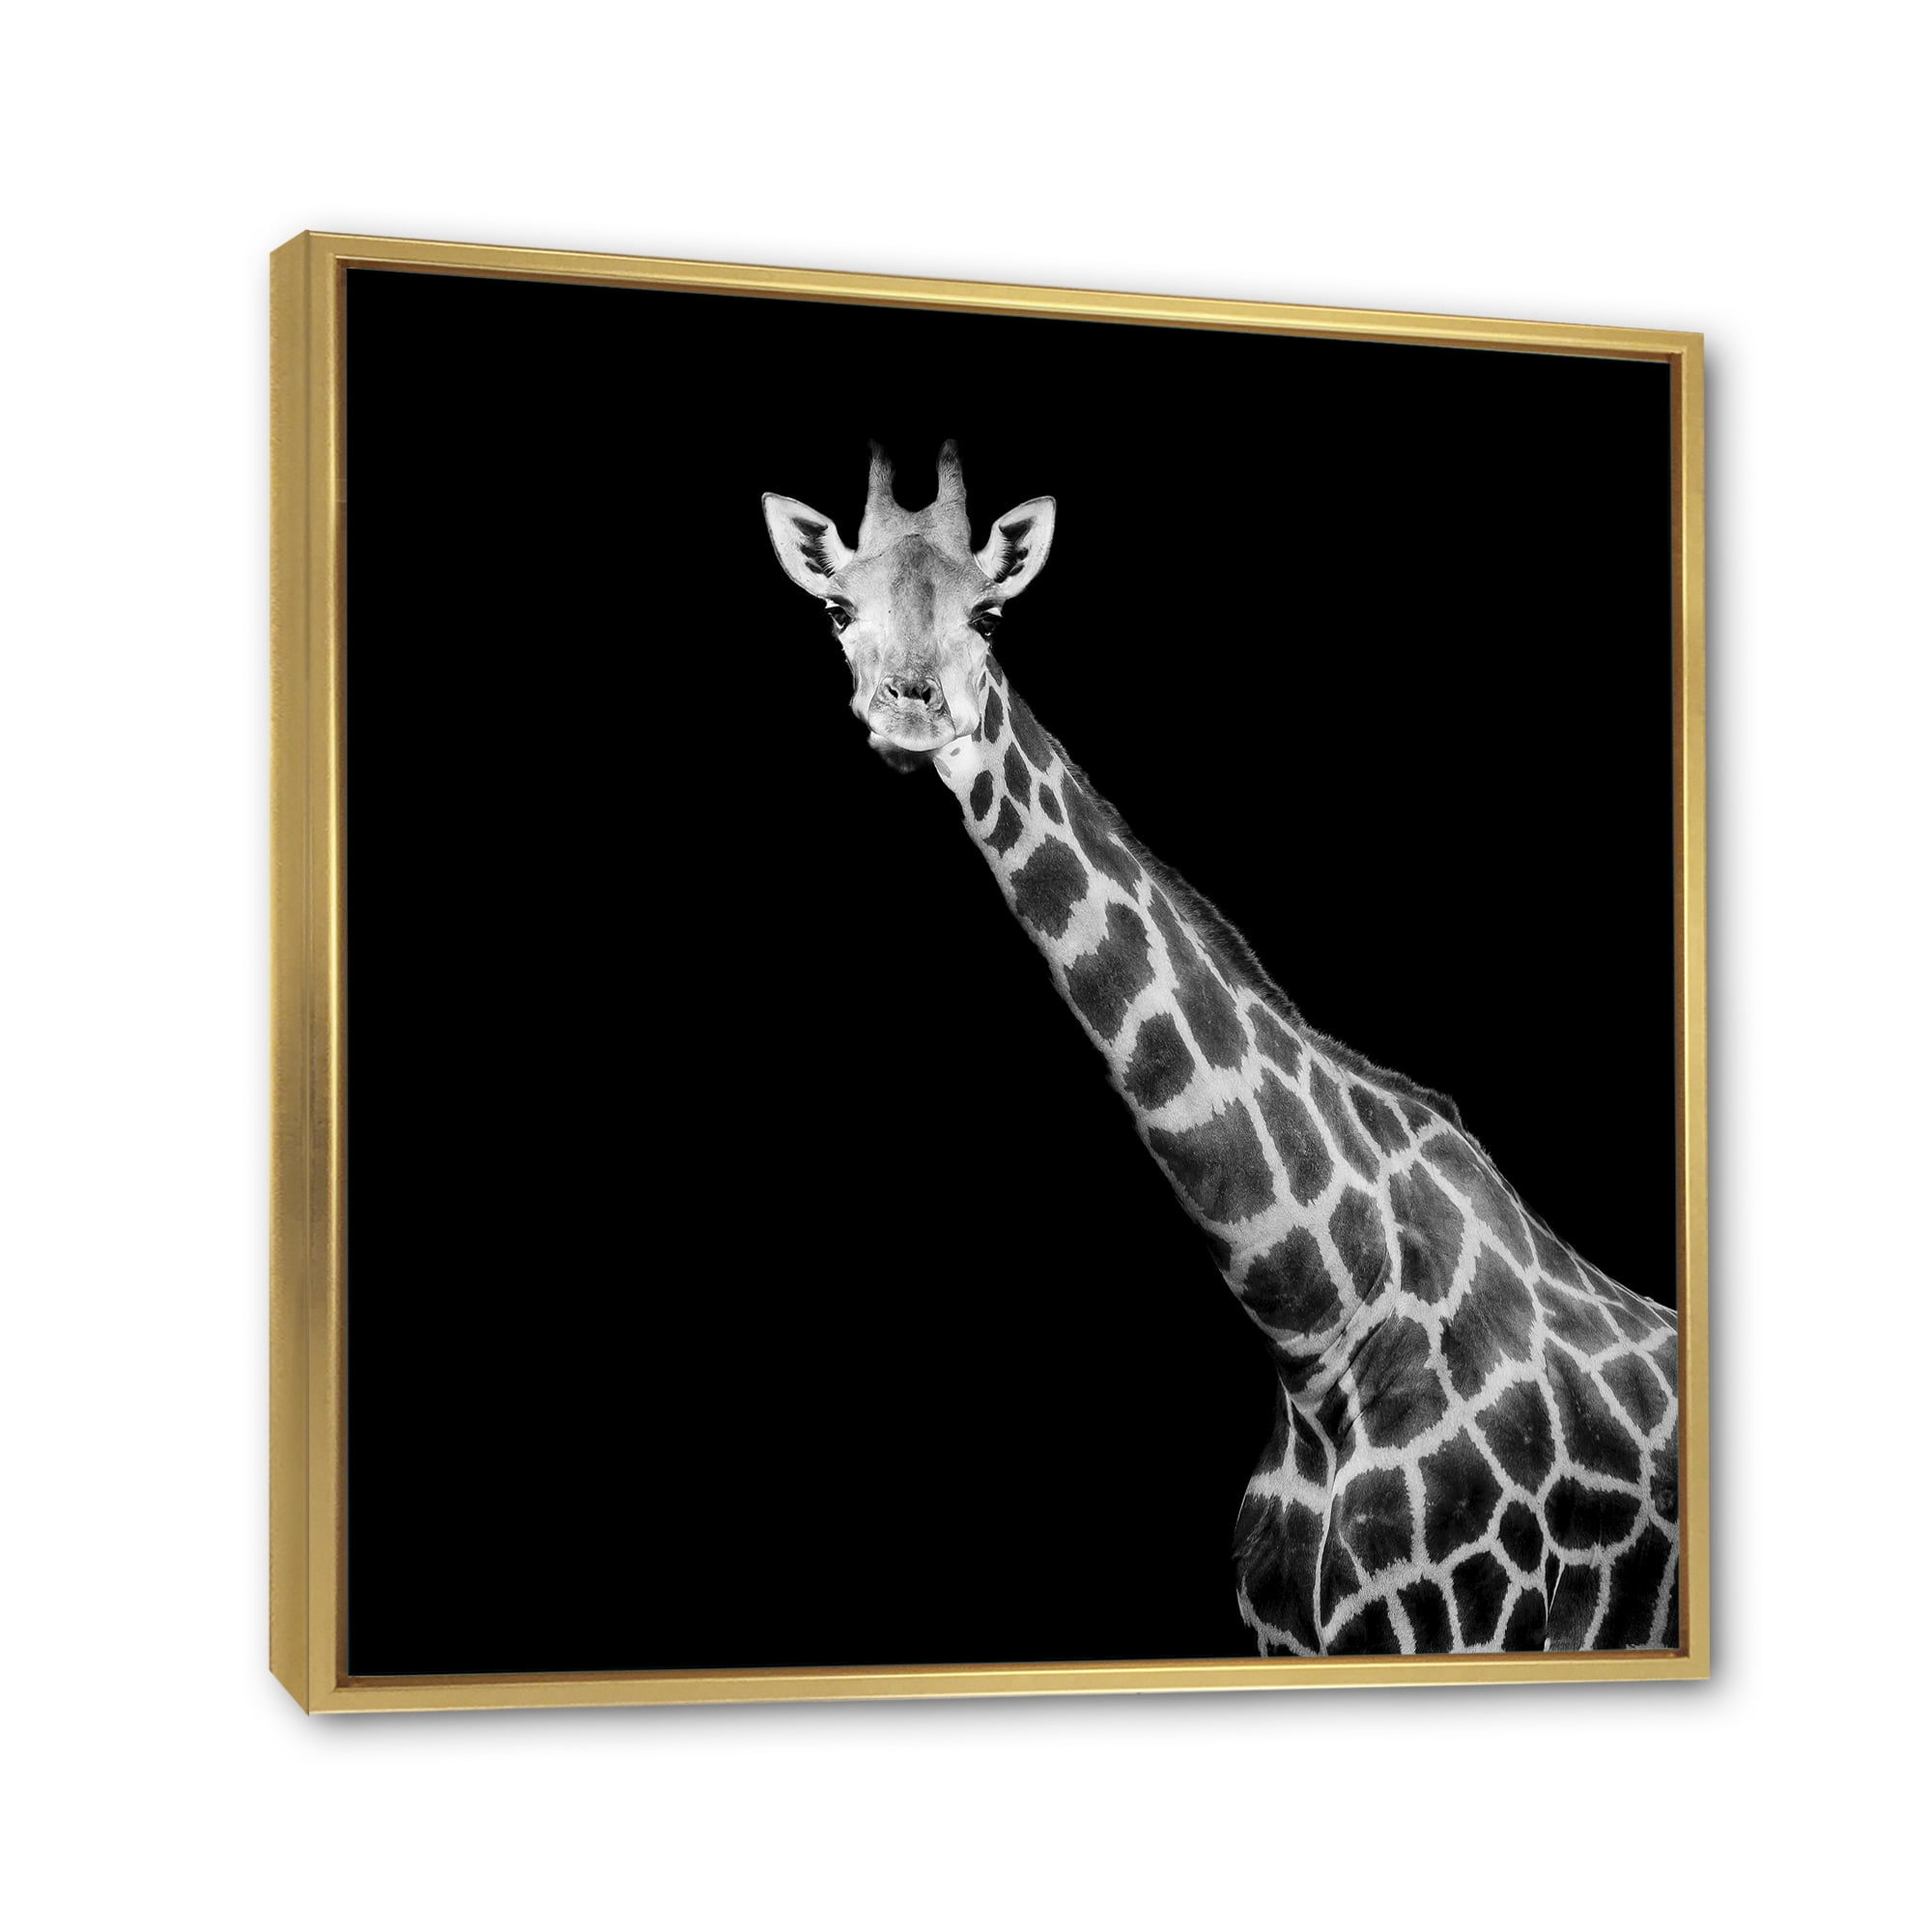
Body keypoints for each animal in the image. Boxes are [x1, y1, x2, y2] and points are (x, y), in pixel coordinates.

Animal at [761, 441, 1681, 1655]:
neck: (1320, 1328)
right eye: (836, 607)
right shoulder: (1284, 1633)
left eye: (992, 614)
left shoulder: (1473, 1623)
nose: (911, 712)